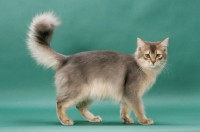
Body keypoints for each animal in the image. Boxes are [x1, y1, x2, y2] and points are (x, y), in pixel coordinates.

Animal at [27, 12, 169, 126]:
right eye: (147, 55)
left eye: (158, 55)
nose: (153, 61)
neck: (146, 70)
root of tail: (67, 58)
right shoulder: (132, 92)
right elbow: (139, 108)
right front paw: (144, 120)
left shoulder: (125, 93)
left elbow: (125, 108)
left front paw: (126, 119)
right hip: (78, 91)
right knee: (60, 103)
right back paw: (65, 120)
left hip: (89, 92)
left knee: (79, 106)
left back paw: (93, 118)